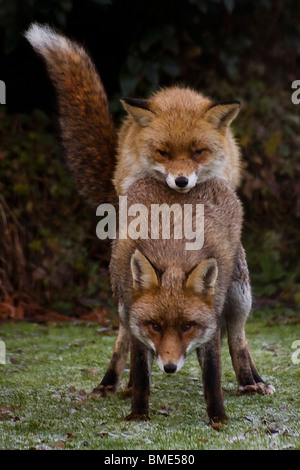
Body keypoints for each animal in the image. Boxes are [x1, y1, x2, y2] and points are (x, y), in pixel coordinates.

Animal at [93, 177, 274, 426]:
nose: (170, 368)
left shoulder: (212, 320)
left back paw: (249, 382)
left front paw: (218, 416)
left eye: (187, 327)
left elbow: (212, 374)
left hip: (240, 298)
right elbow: (140, 370)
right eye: (155, 326)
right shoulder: (136, 320)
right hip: (122, 306)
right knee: (122, 342)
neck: (173, 253)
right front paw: (138, 413)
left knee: (238, 341)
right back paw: (113, 384)